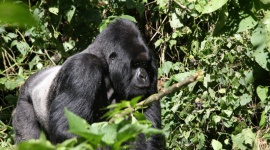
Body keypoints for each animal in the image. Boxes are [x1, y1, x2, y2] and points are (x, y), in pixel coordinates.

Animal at [12, 18, 163, 149]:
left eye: (145, 65)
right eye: (136, 64)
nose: (144, 76)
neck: (105, 64)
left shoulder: (153, 65)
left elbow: (148, 124)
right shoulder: (82, 67)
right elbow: (69, 129)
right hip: (23, 102)